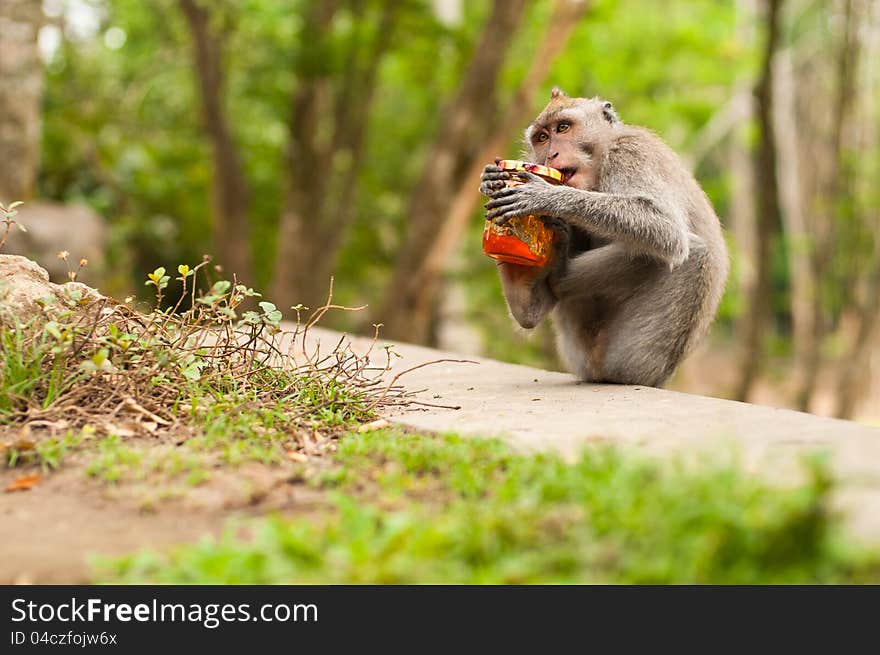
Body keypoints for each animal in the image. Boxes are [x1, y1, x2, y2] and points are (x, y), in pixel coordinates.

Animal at [482, 84, 728, 386]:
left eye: (563, 128)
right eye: (542, 137)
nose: (550, 155)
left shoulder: (630, 154)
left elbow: (665, 227)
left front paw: (546, 195)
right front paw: (491, 180)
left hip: (641, 356)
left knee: (693, 252)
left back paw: (556, 277)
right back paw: (524, 291)